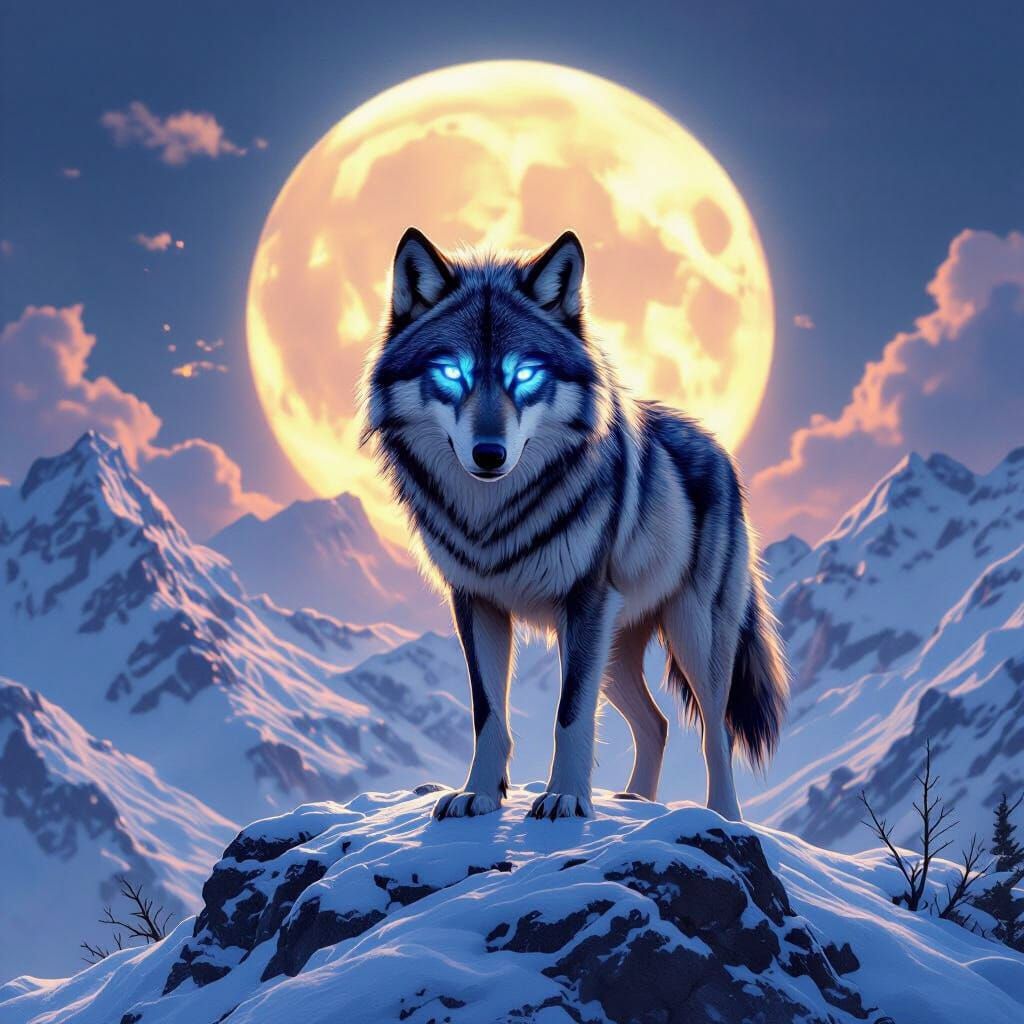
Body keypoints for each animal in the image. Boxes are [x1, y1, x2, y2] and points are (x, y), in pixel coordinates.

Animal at [362, 227, 787, 822]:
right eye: (452, 372)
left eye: (525, 373)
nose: (489, 454)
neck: (494, 517)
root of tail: (719, 448)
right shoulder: (476, 603)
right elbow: (487, 714)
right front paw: (478, 794)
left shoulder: (584, 601)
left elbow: (569, 715)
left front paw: (565, 796)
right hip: (615, 648)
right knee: (656, 724)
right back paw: (636, 801)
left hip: (691, 634)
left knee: (715, 733)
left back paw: (724, 818)